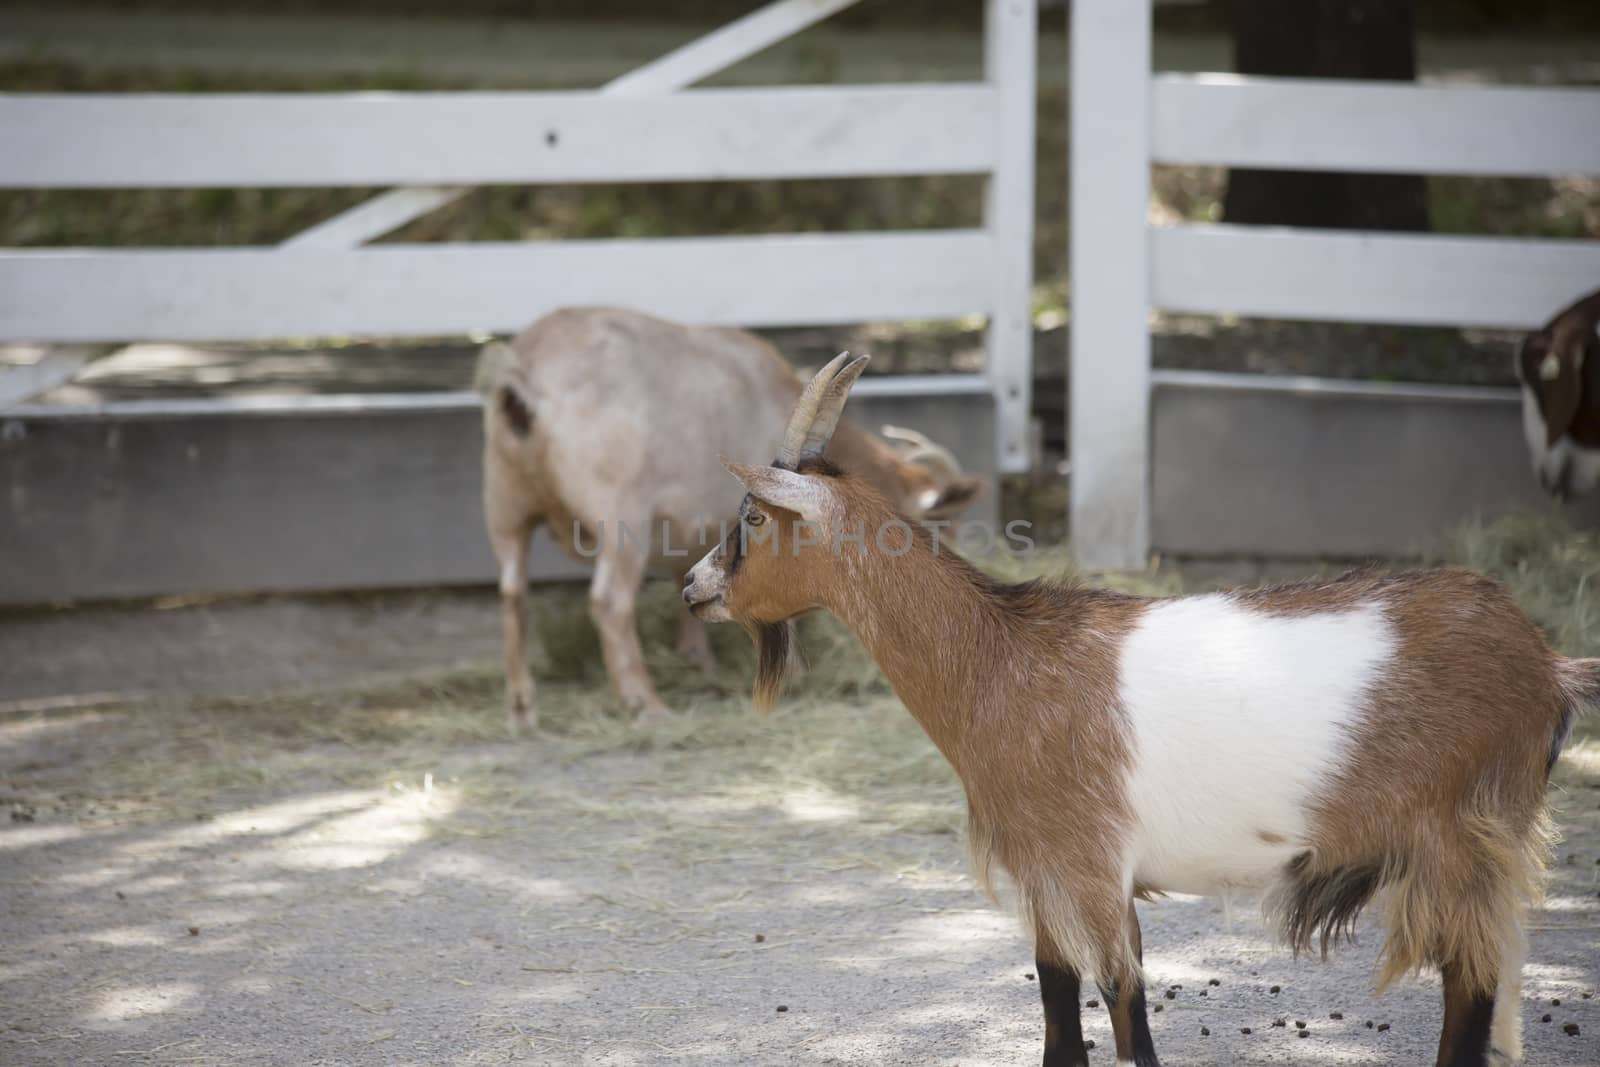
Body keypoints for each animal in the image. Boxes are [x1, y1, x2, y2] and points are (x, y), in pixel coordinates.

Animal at [467, 303, 979, 729]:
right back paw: (645, 703)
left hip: (504, 505)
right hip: (621, 516)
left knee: (513, 594)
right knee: (610, 601)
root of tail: (525, 375)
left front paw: (699, 660)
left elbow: (691, 580)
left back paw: (522, 708)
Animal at [681, 351, 1593, 1067]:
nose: (692, 588)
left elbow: (1125, 1007)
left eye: (752, 516)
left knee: (1471, 994)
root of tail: (1546, 662)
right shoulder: (1050, 875)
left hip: (1461, 836)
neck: (997, 661)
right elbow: (1059, 1009)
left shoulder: (1088, 864)